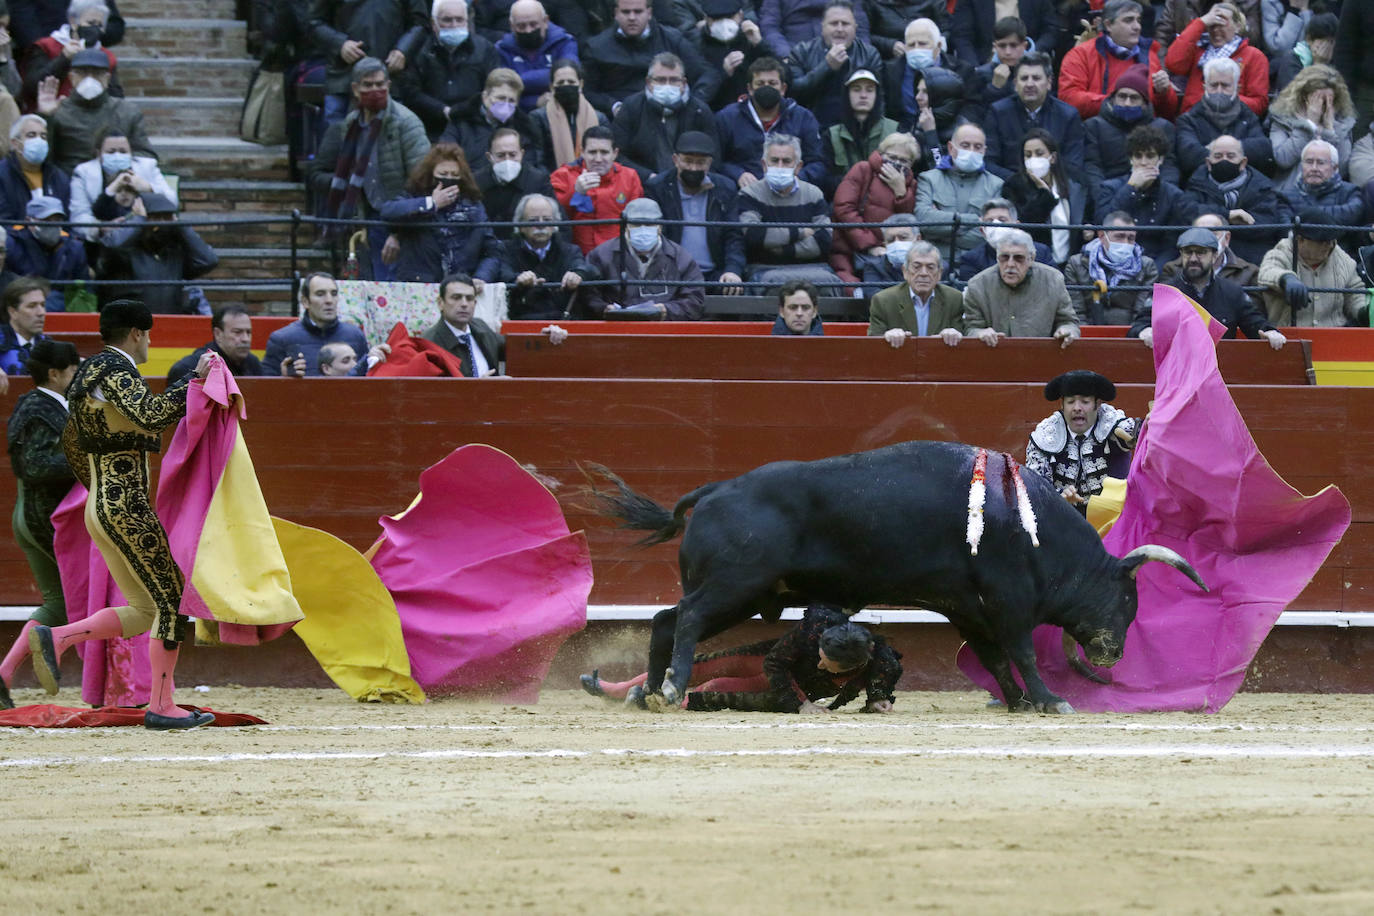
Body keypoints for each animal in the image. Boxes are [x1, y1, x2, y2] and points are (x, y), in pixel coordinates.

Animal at [585, 439, 1209, 714]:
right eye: (1127, 601)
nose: (1112, 654)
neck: (1032, 529)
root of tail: (714, 489)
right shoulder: (1006, 600)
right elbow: (1022, 652)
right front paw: (1050, 700)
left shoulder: (965, 605)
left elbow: (993, 657)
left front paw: (1016, 701)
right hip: (734, 586)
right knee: (687, 619)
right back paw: (670, 688)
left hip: (742, 593)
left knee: (666, 619)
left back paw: (647, 692)